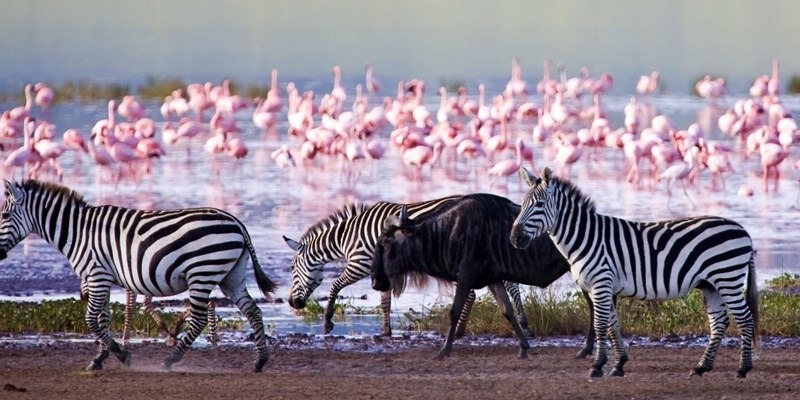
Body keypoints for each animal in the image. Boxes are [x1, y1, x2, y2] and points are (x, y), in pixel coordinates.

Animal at [0, 180, 276, 374]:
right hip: (231, 276)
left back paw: (170, 360)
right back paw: (260, 362)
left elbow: (91, 319)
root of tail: (236, 222)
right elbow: (103, 319)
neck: (78, 233)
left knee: (199, 319)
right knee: (253, 311)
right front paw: (100, 358)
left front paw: (121, 355)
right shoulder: (103, 278)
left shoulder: (97, 275)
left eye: (3, 216)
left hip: (202, 273)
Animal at [282, 195, 532, 340]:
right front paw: (386, 332)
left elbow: (334, 286)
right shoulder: (381, 270)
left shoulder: (359, 264)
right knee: (508, 285)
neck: (346, 237)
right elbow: (385, 301)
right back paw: (523, 323)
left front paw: (327, 322)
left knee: (478, 291)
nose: (292, 303)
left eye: (293, 268)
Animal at [510, 167, 760, 380]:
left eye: (539, 204)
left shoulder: (601, 283)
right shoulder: (603, 287)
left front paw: (597, 366)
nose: (515, 238)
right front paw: (618, 365)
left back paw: (743, 368)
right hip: (711, 285)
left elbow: (600, 325)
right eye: (521, 205)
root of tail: (743, 229)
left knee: (745, 319)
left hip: (727, 279)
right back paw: (701, 367)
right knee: (718, 322)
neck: (585, 238)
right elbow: (613, 326)